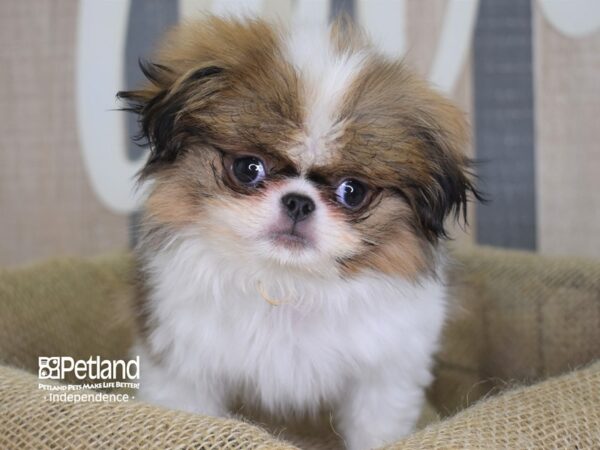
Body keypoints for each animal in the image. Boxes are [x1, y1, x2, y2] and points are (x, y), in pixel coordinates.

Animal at [119, 14, 480, 450]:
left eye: (352, 191)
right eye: (248, 168)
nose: (298, 202)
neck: (287, 283)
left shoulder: (384, 376)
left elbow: (377, 428)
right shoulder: (181, 364)